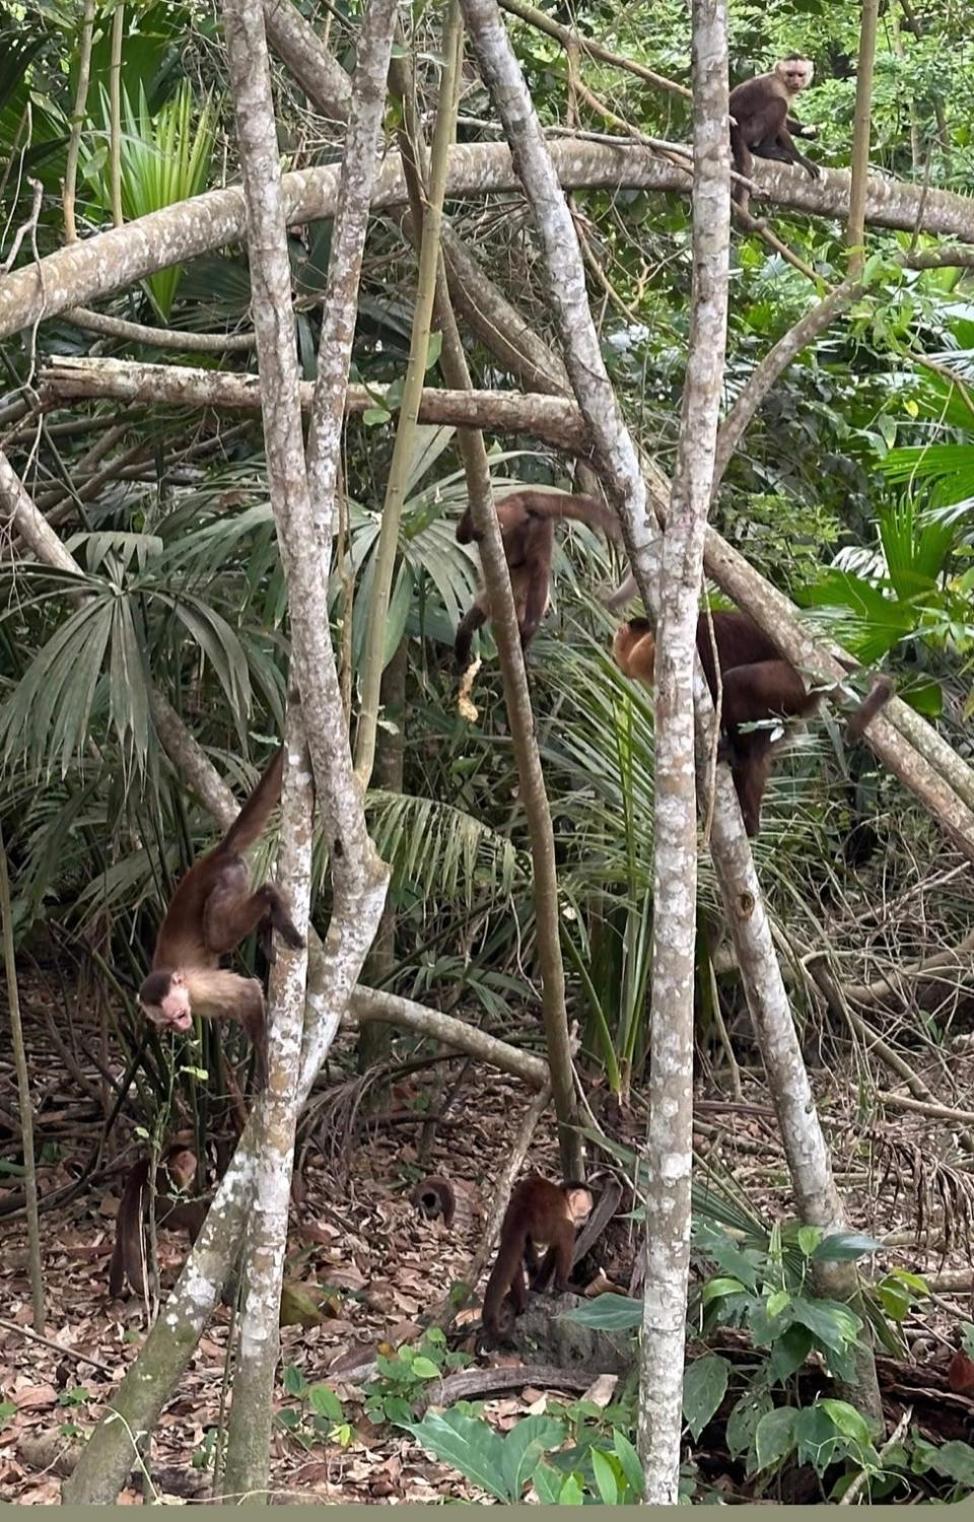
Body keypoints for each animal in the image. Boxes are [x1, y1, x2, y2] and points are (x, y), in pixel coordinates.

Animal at [137, 745, 304, 1083]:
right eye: (170, 1023)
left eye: (179, 1015)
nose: (183, 1026)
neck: (185, 991)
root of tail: (214, 856)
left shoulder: (199, 987)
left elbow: (250, 992)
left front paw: (262, 1063)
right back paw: (266, 926)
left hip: (230, 878)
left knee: (217, 935)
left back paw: (270, 898)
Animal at [480, 1174, 593, 1345]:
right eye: (585, 1213)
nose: (585, 1221)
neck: (564, 1198)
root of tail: (522, 1210)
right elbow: (562, 1239)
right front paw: (553, 1285)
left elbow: (551, 1249)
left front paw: (538, 1286)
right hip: (542, 1222)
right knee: (566, 1230)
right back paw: (562, 1284)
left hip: (509, 1222)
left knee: (517, 1250)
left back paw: (521, 1301)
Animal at [611, 608, 894, 846]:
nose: (618, 659)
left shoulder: (659, 648)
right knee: (760, 749)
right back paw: (750, 818)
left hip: (790, 681)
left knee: (737, 683)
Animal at [730, 54, 821, 211]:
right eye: (790, 74)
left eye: (800, 74)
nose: (795, 81)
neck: (782, 82)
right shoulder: (778, 89)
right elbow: (782, 126)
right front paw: (801, 159)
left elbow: (787, 123)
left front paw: (809, 132)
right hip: (748, 130)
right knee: (779, 105)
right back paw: (765, 150)